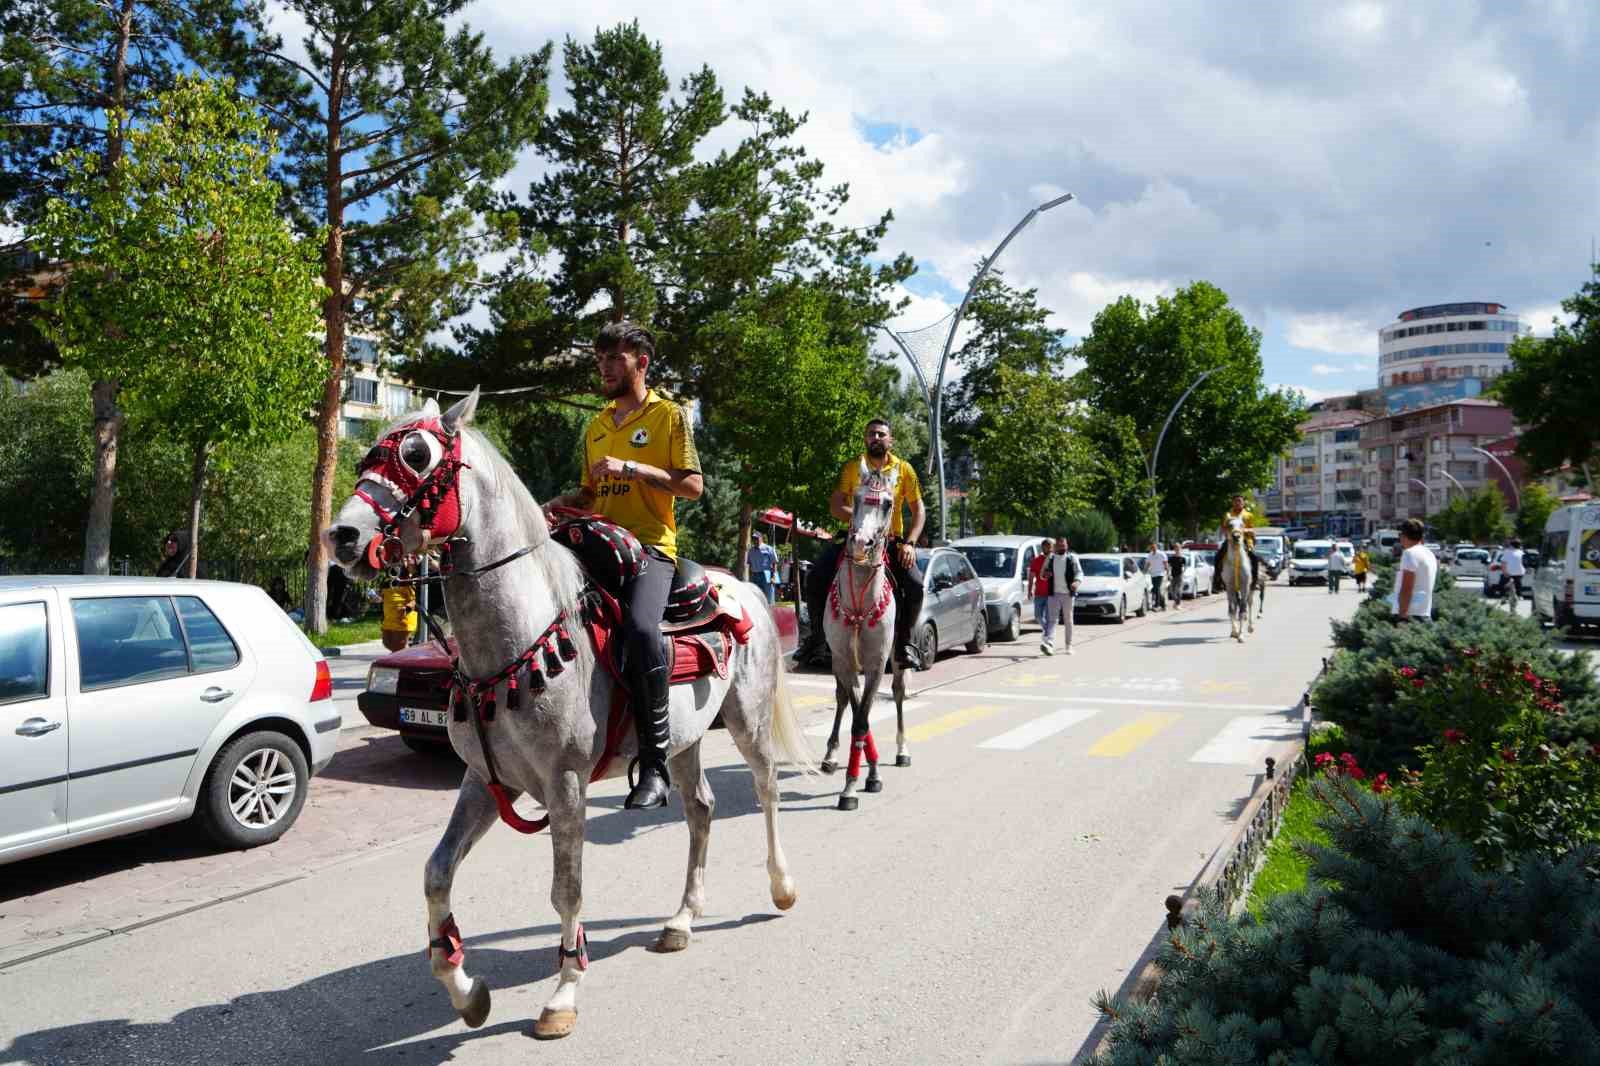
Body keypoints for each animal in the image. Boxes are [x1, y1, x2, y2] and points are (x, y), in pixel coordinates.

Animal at [324, 390, 812, 1037]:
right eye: (367, 456)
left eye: (417, 454)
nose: (341, 535)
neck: (513, 641)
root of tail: (745, 587)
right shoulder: (485, 781)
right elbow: (436, 873)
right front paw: (464, 988)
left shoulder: (567, 783)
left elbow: (567, 890)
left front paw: (563, 994)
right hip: (683, 741)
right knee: (702, 809)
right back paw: (682, 919)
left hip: (747, 721)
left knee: (767, 789)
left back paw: (781, 887)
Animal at [825, 470, 915, 809]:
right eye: (856, 498)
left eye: (888, 503)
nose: (862, 543)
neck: (858, 605)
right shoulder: (845, 662)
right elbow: (856, 715)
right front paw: (861, 774)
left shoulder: (876, 664)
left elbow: (862, 721)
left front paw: (859, 782)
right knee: (842, 700)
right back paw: (831, 755)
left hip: (897, 659)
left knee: (899, 693)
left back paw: (902, 750)